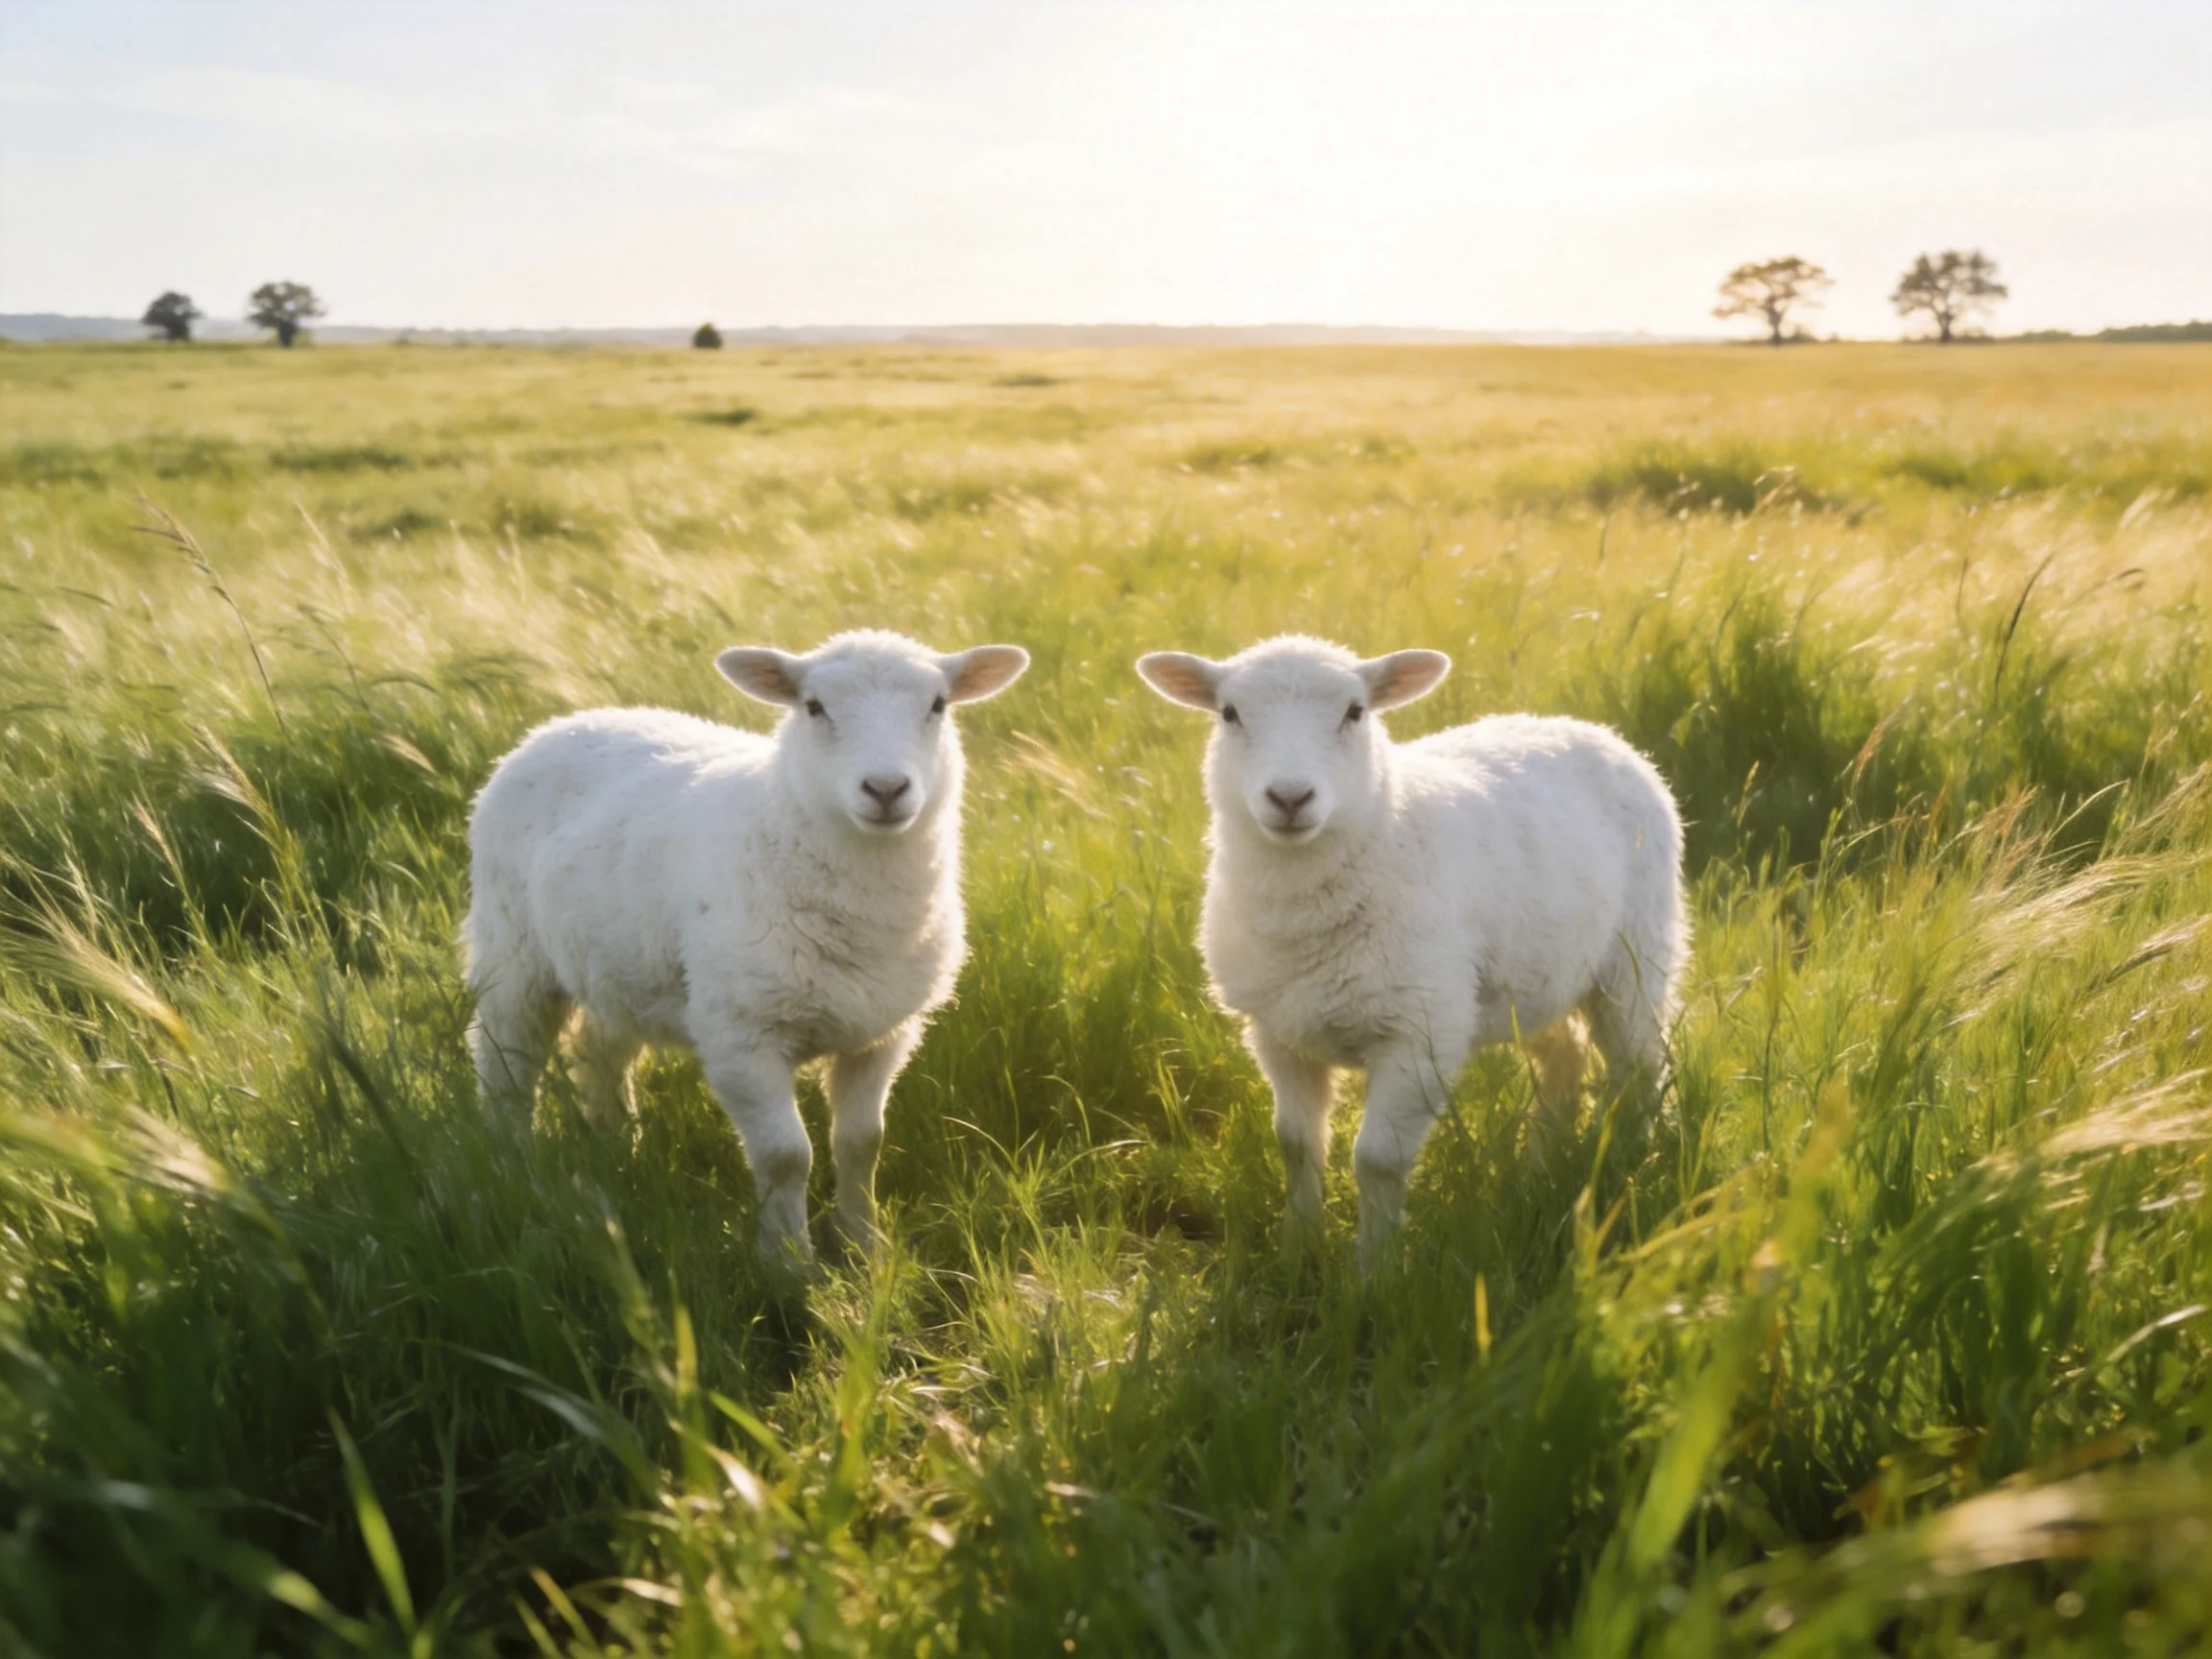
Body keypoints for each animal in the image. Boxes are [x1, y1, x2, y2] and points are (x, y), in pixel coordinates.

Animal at [463, 629, 1029, 1269]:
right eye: (814, 707)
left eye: (938, 705)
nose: (886, 789)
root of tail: (566, 721)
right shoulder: (740, 1035)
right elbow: (787, 1156)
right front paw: (790, 1264)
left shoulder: (883, 1034)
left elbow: (862, 1142)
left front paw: (864, 1247)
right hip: (512, 951)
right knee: (506, 1066)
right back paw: (511, 1168)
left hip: (617, 962)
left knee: (601, 1050)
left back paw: (618, 1145)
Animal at [1135, 635, 1687, 1272]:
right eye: (1229, 714)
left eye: (1355, 712)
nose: (1290, 797)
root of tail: (1590, 729)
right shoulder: (1277, 1033)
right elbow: (1296, 1145)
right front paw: (1297, 1251)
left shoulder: (1420, 1032)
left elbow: (1377, 1160)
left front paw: (1373, 1272)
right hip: (1538, 973)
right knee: (1564, 1059)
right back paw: (1539, 1168)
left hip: (1637, 953)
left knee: (1640, 1066)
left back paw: (1631, 1162)